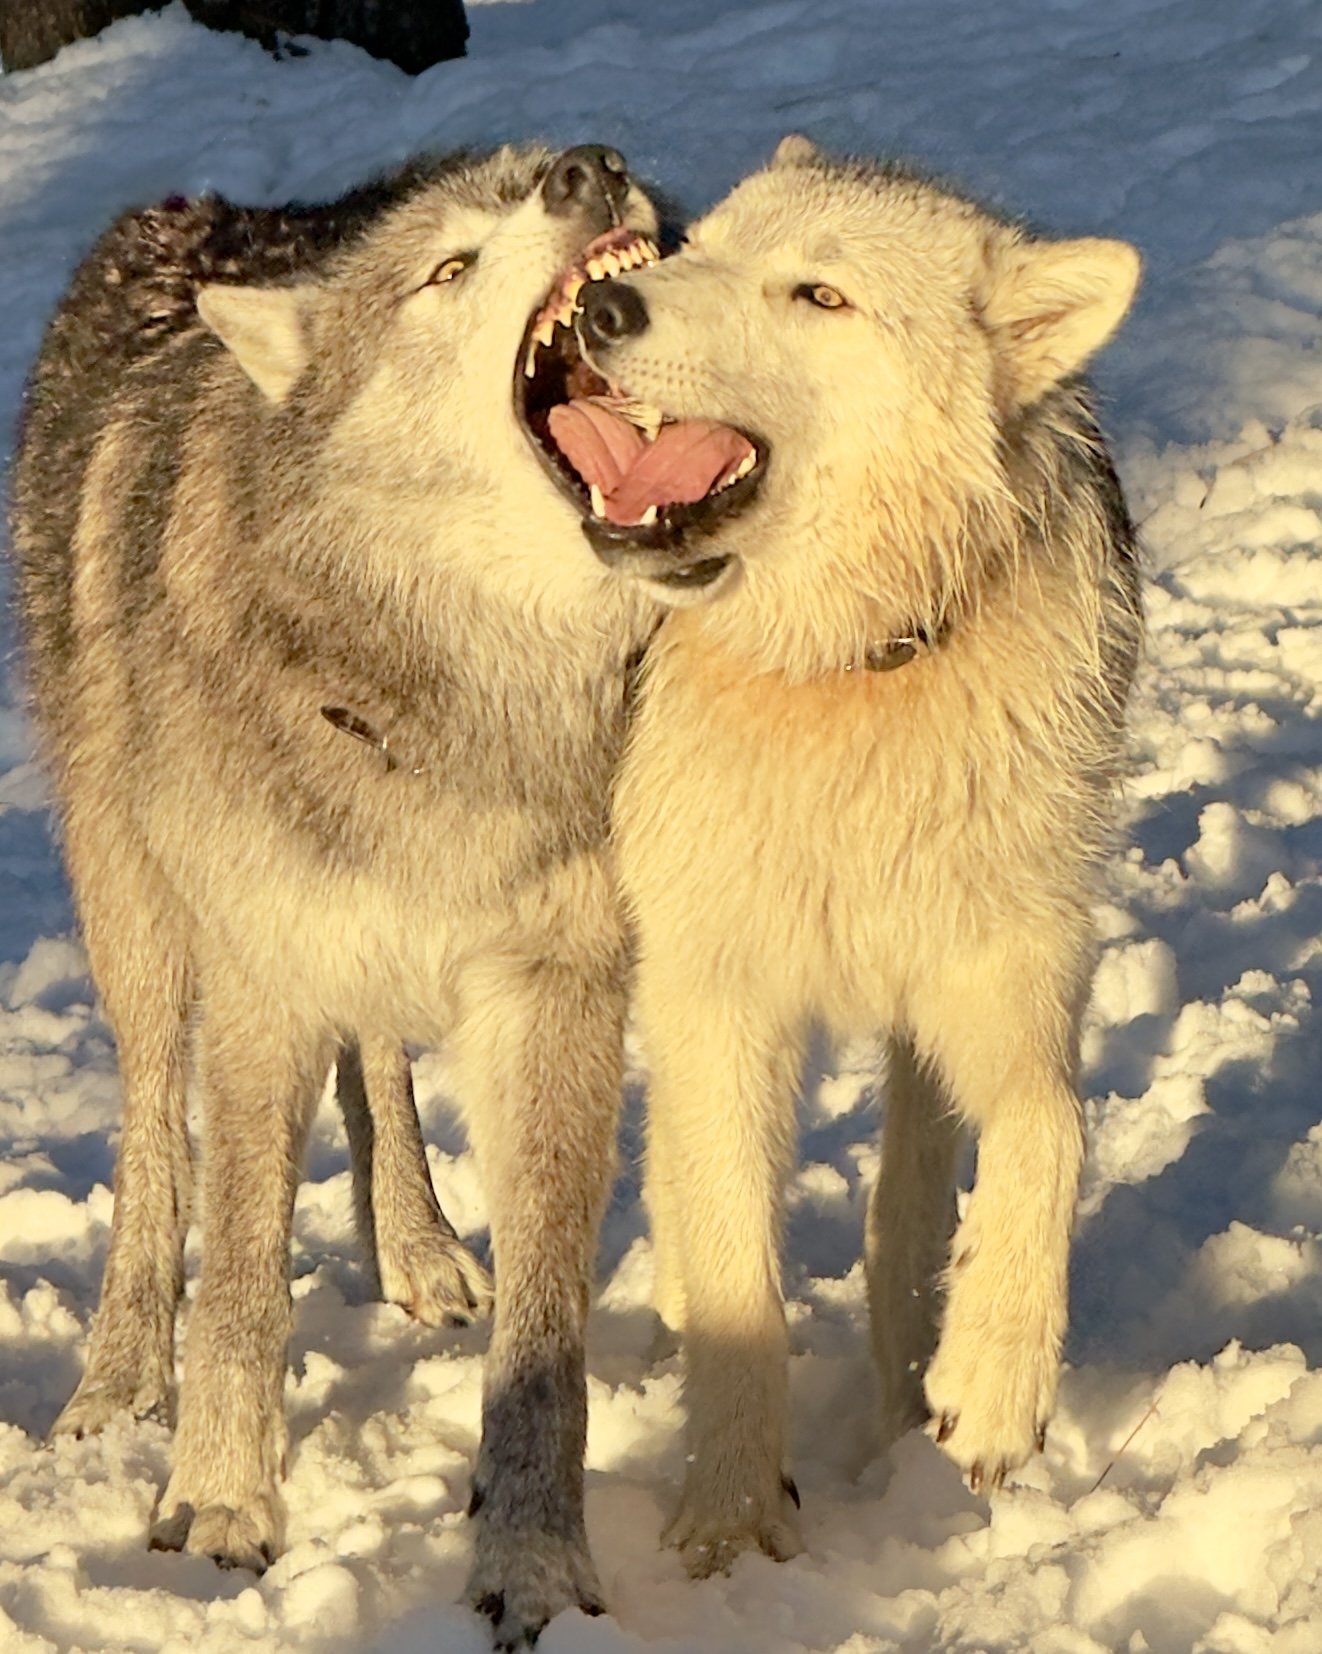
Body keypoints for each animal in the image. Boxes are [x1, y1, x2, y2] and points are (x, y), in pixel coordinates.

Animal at [11, 143, 661, 1645]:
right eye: (446, 269)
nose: (587, 165)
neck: (443, 697)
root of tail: (198, 210)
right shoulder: (259, 980)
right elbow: (243, 1280)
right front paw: (214, 1509)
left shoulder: (557, 992)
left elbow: (545, 1337)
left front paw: (533, 1562)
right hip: (138, 919)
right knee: (151, 1137)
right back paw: (116, 1378)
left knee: (380, 1061)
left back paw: (417, 1249)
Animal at [518, 134, 1142, 1573]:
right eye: (701, 250)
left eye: (818, 295)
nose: (607, 310)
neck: (841, 672)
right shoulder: (719, 995)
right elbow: (734, 1272)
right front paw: (728, 1523)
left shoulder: (1007, 966)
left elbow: (1048, 1130)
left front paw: (996, 1383)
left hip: (920, 1017)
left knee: (907, 1195)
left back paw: (915, 1388)